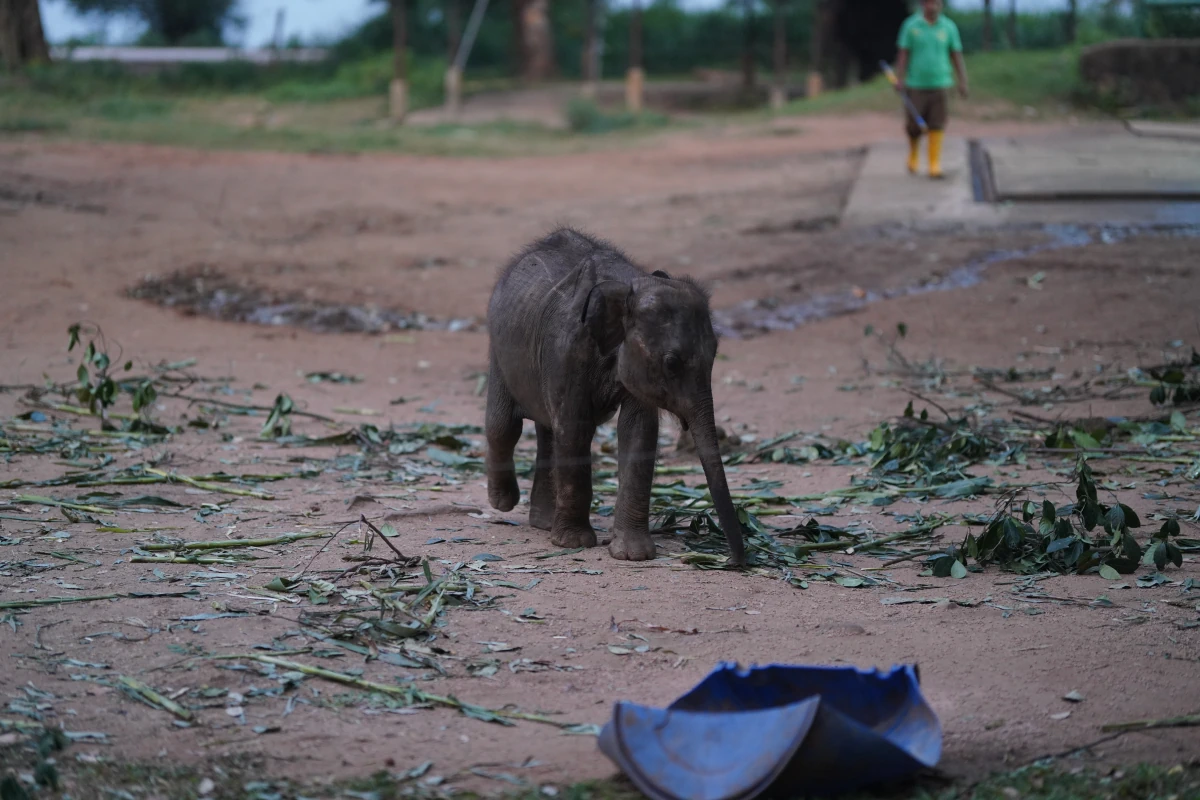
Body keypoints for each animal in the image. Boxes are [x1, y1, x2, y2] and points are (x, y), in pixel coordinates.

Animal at [482, 225, 744, 566]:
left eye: (715, 354)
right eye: (672, 363)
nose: (734, 561)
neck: (629, 286)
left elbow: (638, 432)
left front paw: (634, 555)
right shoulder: (567, 349)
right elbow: (576, 429)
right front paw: (574, 543)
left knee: (547, 431)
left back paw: (543, 523)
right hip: (499, 351)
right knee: (505, 426)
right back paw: (504, 503)